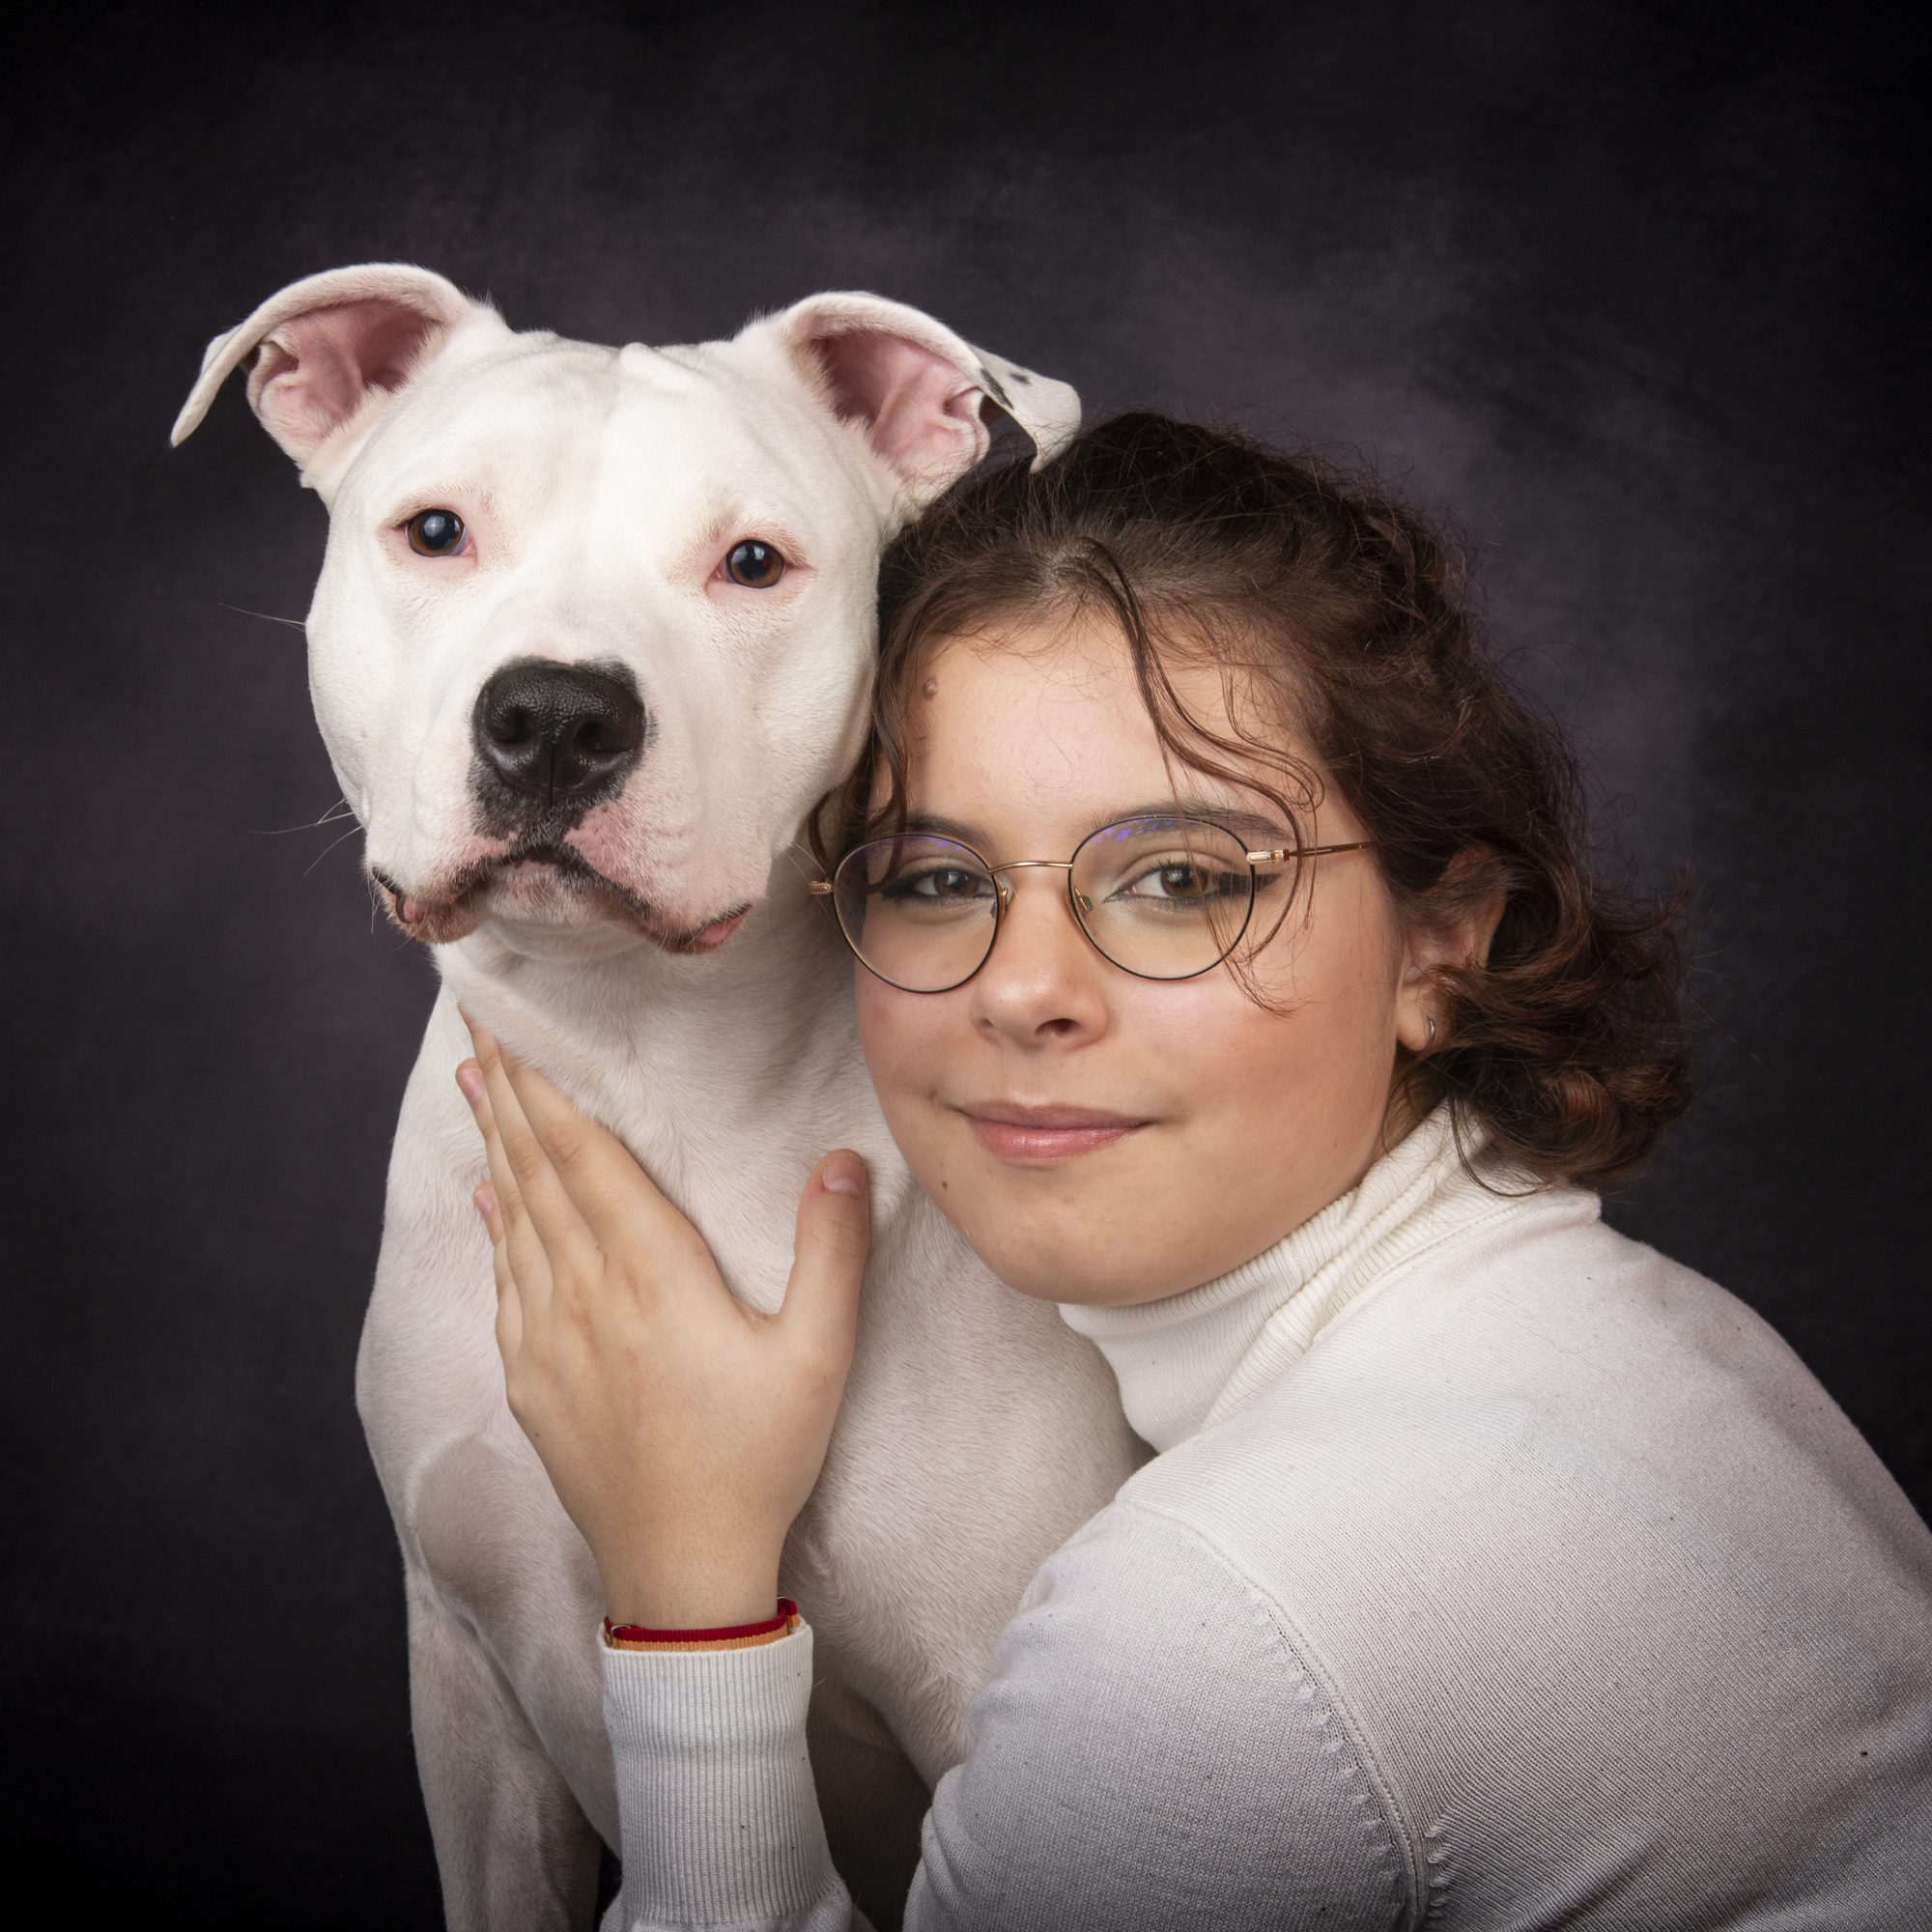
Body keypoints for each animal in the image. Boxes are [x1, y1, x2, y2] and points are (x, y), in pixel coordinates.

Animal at [170, 272, 1144, 1932]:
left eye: (752, 563)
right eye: (437, 531)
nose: (557, 717)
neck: (640, 1058)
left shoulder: (988, 1706)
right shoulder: (472, 1699)